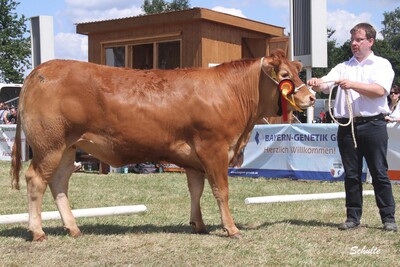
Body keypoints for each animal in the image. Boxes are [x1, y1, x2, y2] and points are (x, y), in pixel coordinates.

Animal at [10, 49, 316, 242]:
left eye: (297, 71)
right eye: (285, 74)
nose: (311, 97)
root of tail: (41, 69)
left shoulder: (194, 158)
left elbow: (196, 190)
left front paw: (198, 225)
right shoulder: (214, 148)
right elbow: (221, 191)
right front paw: (231, 228)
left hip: (68, 147)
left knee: (59, 183)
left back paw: (73, 228)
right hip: (50, 145)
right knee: (35, 179)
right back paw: (37, 232)